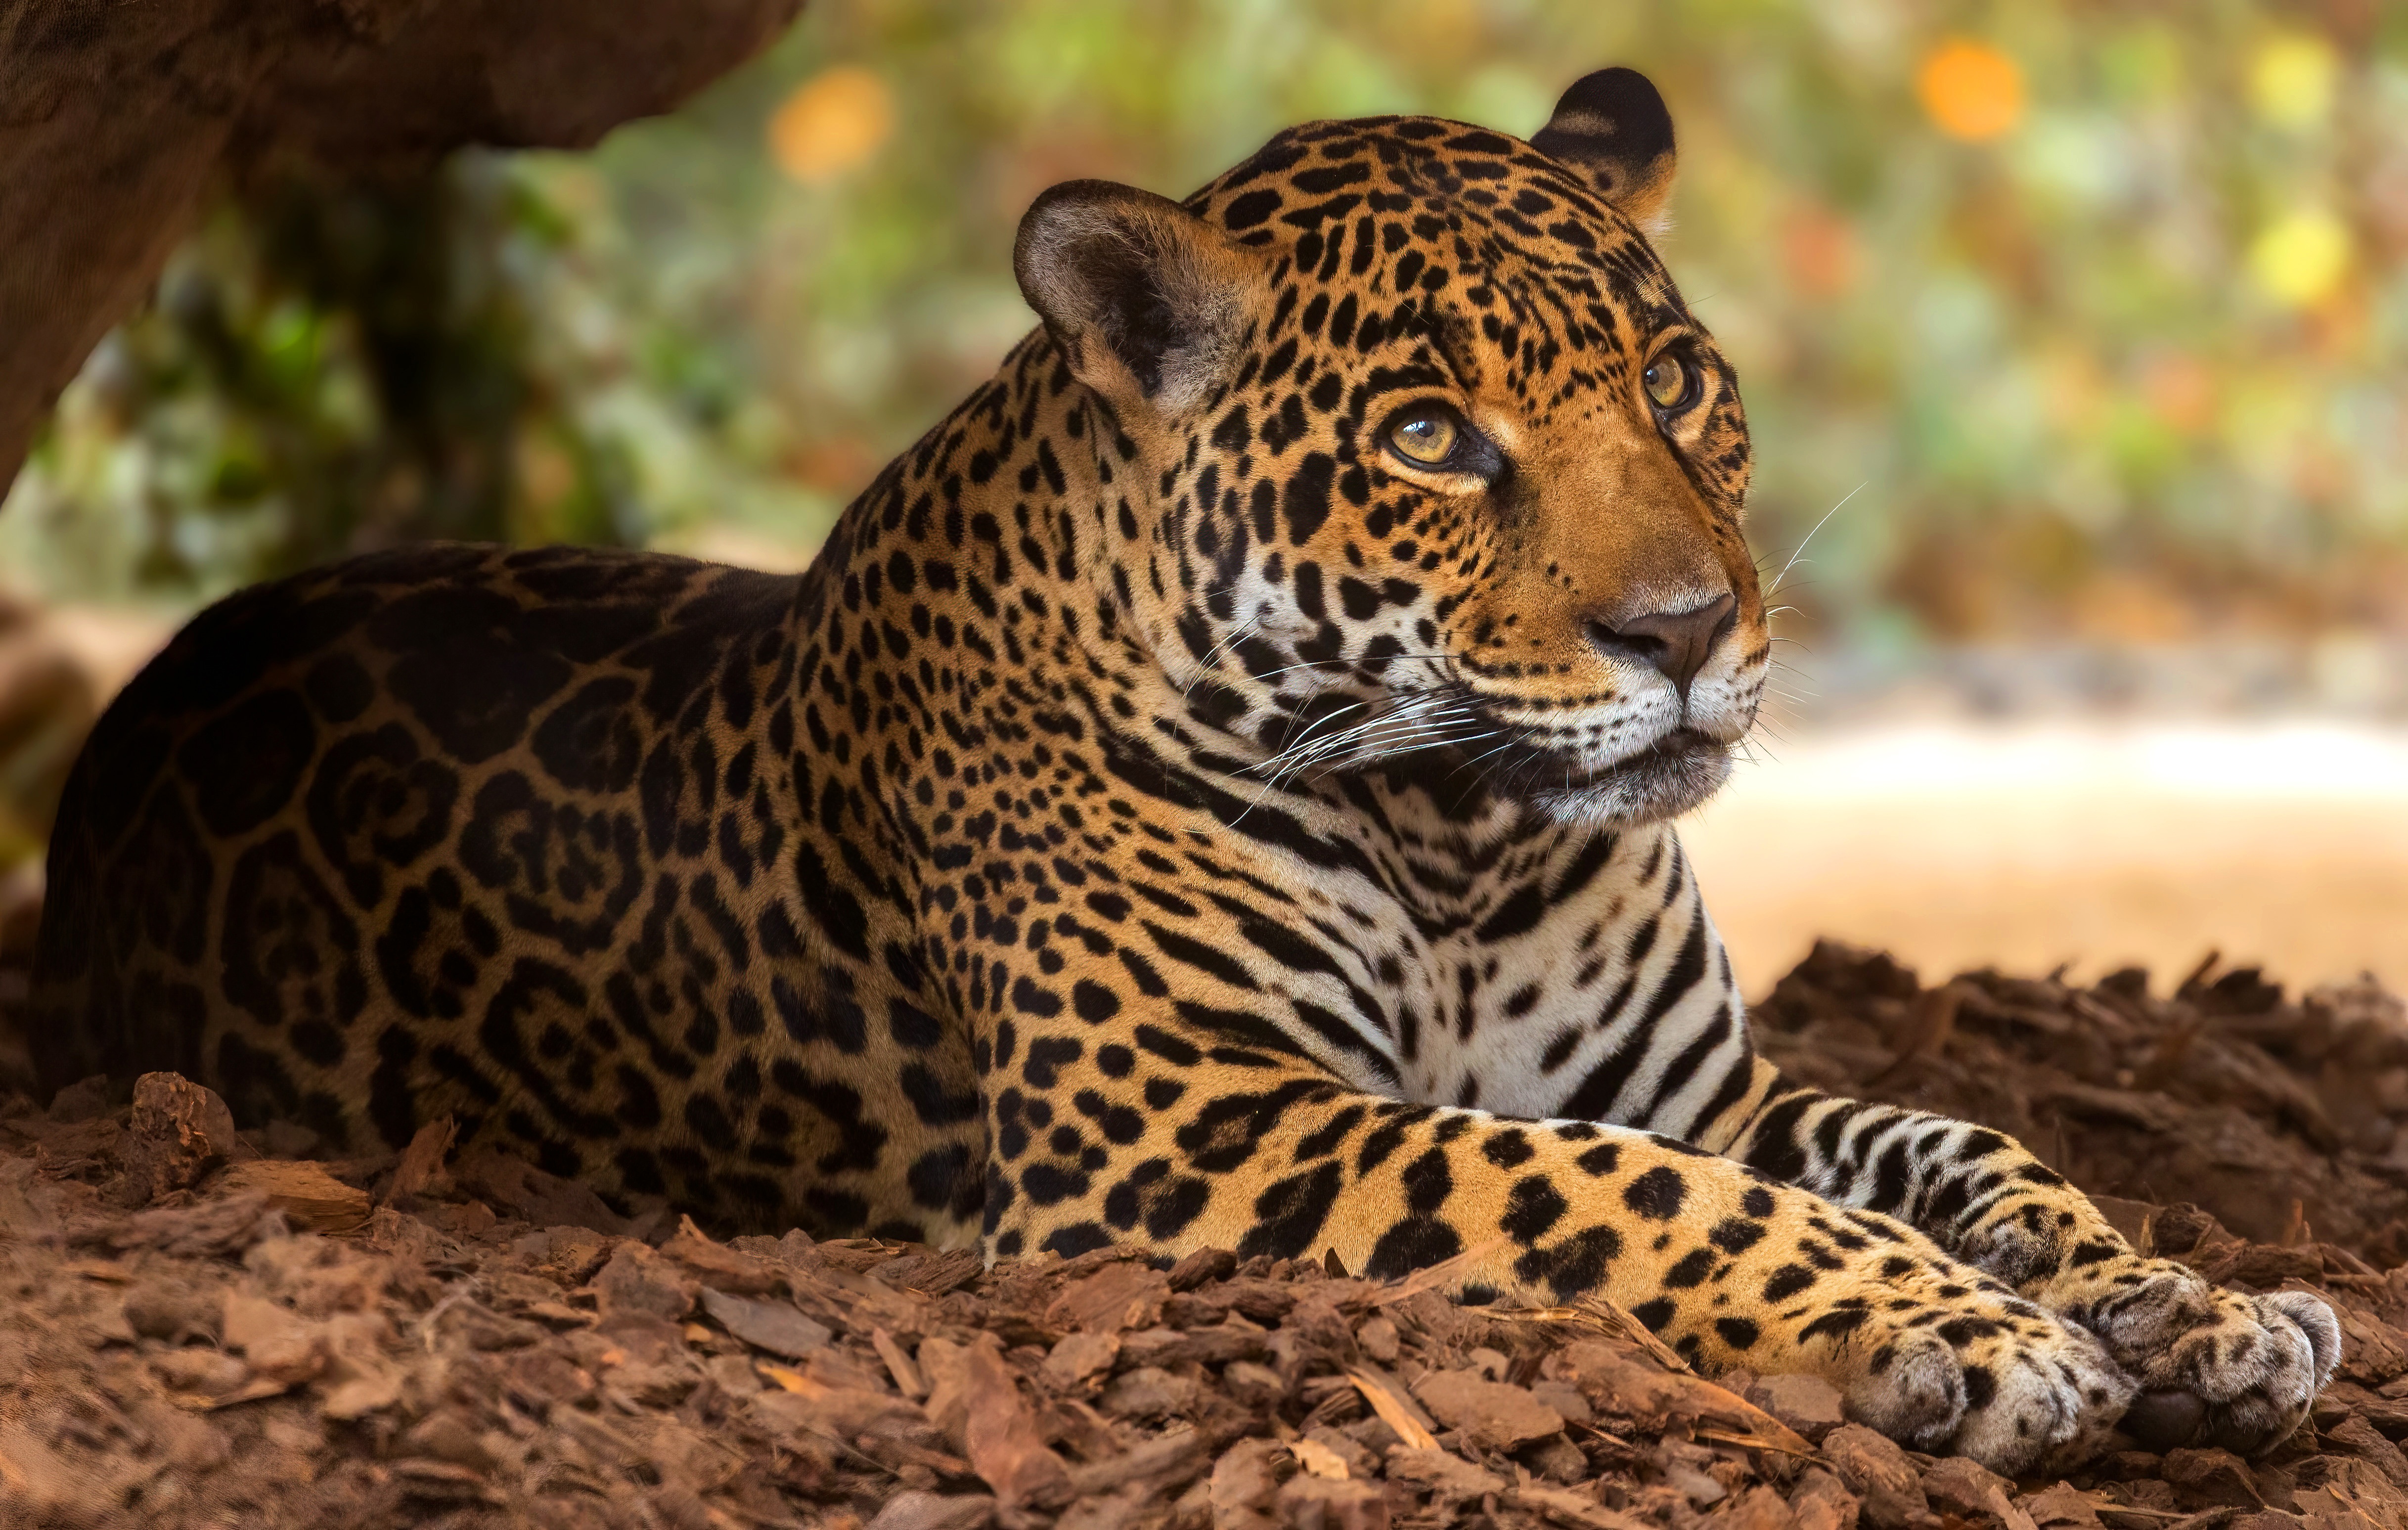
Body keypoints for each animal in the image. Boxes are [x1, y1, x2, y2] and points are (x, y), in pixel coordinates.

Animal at [26, 67, 2336, 1474]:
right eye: (1430, 440)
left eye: (1679, 386)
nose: (1690, 635)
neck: (1461, 838)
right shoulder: (1185, 1129)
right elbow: (1613, 1195)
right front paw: (1982, 1341)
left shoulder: (1698, 1084)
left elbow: (1958, 1146)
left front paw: (2187, 1303)